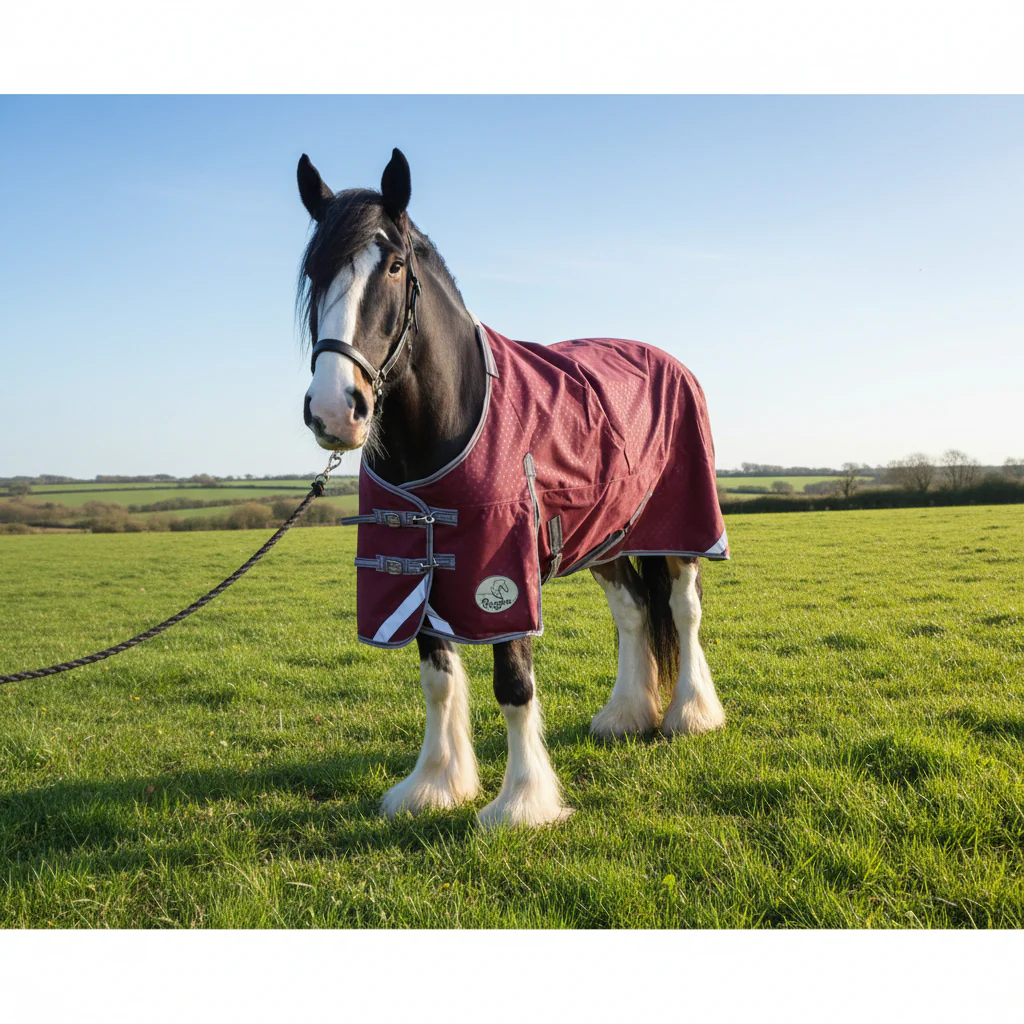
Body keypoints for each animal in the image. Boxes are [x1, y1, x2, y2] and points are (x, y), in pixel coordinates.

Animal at [298, 148, 729, 828]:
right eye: (315, 273)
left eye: (393, 266)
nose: (335, 410)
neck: (450, 419)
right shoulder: (418, 564)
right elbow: (437, 679)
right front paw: (434, 784)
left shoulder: (502, 573)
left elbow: (514, 683)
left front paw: (521, 802)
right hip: (603, 536)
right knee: (634, 610)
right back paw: (625, 715)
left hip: (683, 526)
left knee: (683, 608)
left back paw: (690, 713)